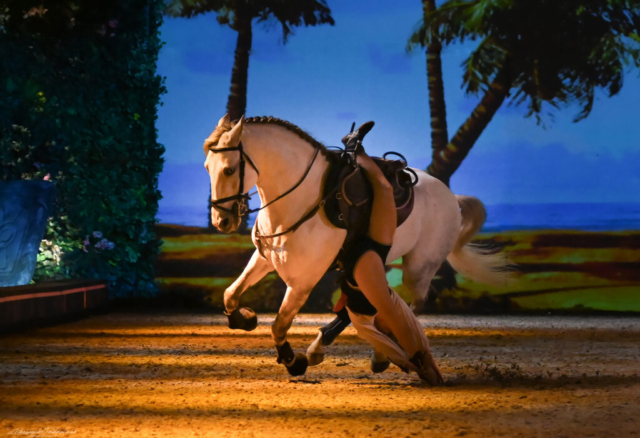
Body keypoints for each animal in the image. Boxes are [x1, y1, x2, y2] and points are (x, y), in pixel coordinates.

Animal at [205, 114, 510, 374]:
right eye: (207, 167)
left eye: (230, 170)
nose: (222, 221)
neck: (303, 199)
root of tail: (451, 196)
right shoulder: (265, 259)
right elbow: (230, 294)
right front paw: (244, 319)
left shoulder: (302, 281)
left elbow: (279, 325)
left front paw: (293, 361)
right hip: (365, 265)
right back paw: (330, 348)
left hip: (418, 267)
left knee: (412, 303)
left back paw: (380, 353)